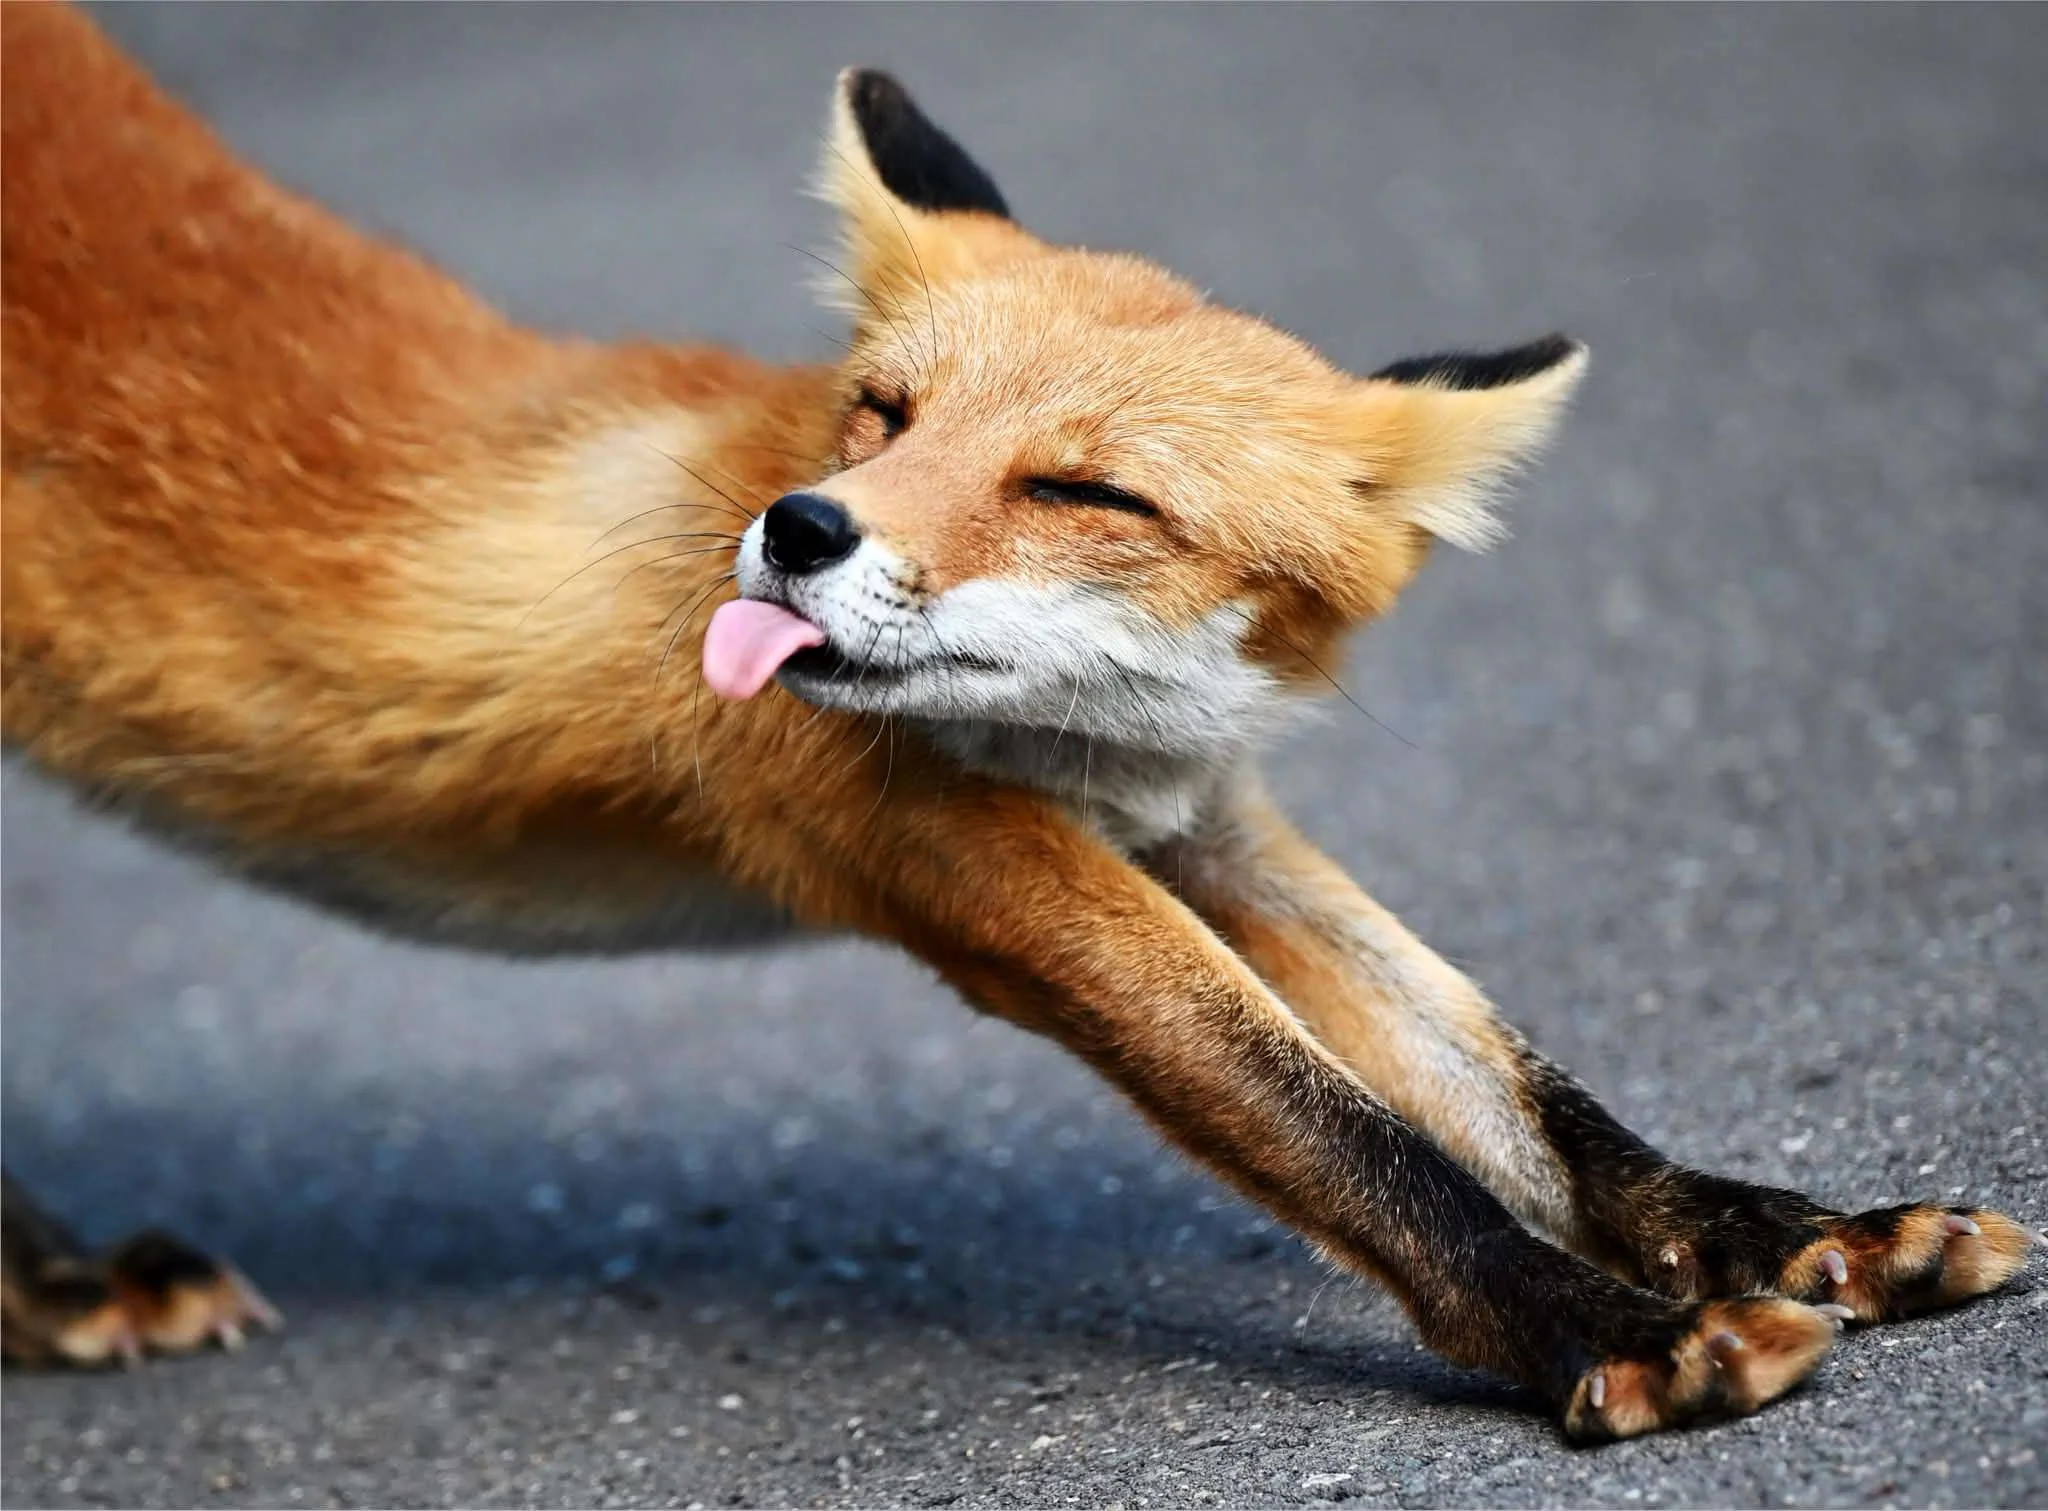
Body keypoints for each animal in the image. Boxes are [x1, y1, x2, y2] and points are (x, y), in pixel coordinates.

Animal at [2, 4, 2038, 1444]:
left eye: (1081, 489)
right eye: (884, 416)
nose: (795, 533)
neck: (1074, 744)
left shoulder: (1203, 816)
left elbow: (1513, 1090)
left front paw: (1783, 1234)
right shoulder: (941, 840)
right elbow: (1323, 1117)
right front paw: (1613, 1336)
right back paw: (56, 1283)